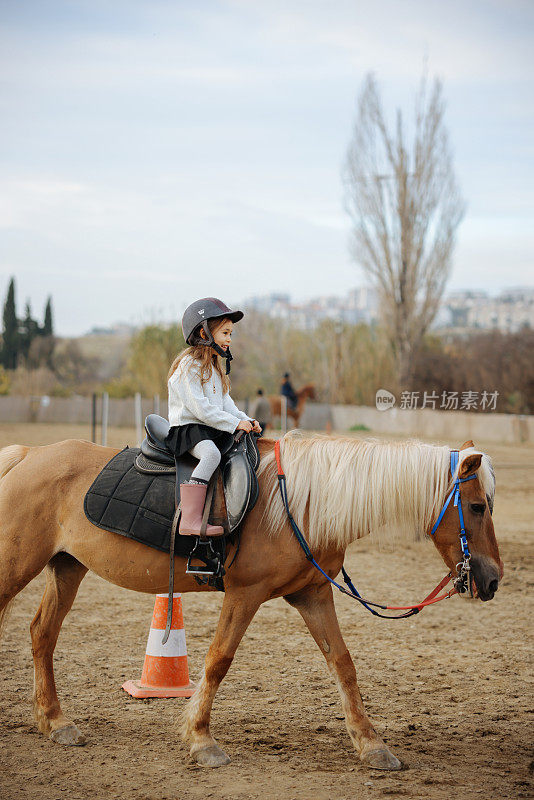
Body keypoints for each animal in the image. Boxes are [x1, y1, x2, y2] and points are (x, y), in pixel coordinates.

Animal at [0, 434, 502, 772]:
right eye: (477, 507)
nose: (493, 578)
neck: (300, 504)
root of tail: (28, 455)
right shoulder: (246, 594)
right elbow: (219, 660)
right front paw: (201, 740)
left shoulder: (313, 595)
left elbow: (342, 662)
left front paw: (372, 744)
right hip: (19, 566)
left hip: (67, 568)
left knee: (42, 633)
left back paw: (55, 722)